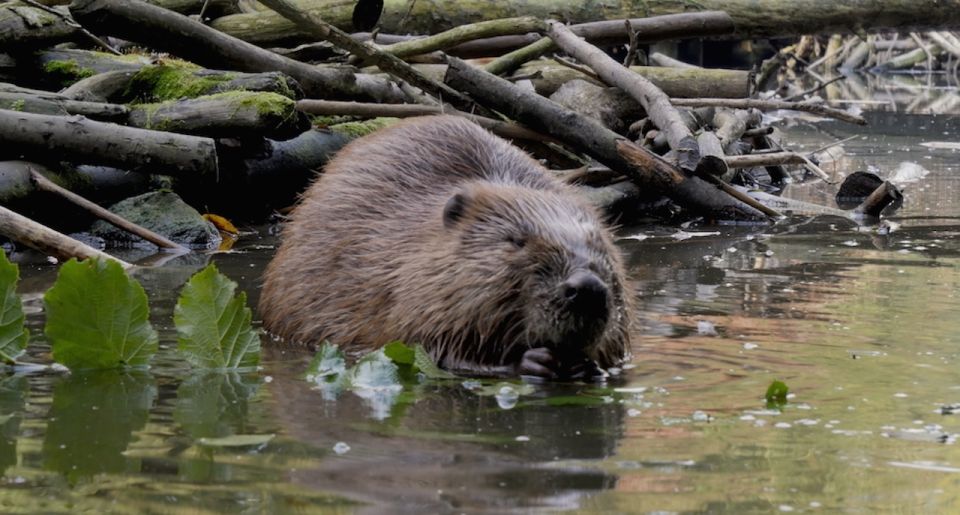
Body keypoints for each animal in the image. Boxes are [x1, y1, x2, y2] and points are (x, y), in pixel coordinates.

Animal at [258, 116, 632, 378]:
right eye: (517, 240)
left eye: (598, 243)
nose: (587, 288)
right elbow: (427, 345)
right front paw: (531, 362)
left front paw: (589, 366)